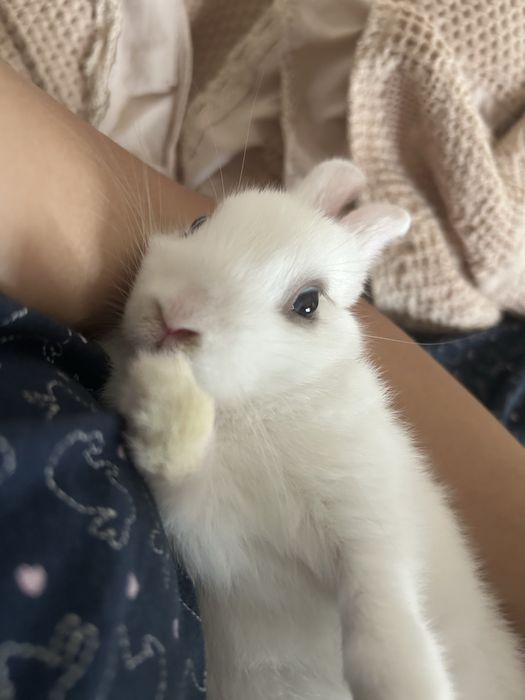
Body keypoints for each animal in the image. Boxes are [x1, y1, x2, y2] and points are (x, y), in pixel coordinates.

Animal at [104, 159, 525, 700]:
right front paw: (164, 399)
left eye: (308, 303)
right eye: (198, 224)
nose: (175, 317)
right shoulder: (213, 532)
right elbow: (180, 469)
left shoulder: (368, 515)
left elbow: (382, 625)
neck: (257, 404)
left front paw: (412, 687)